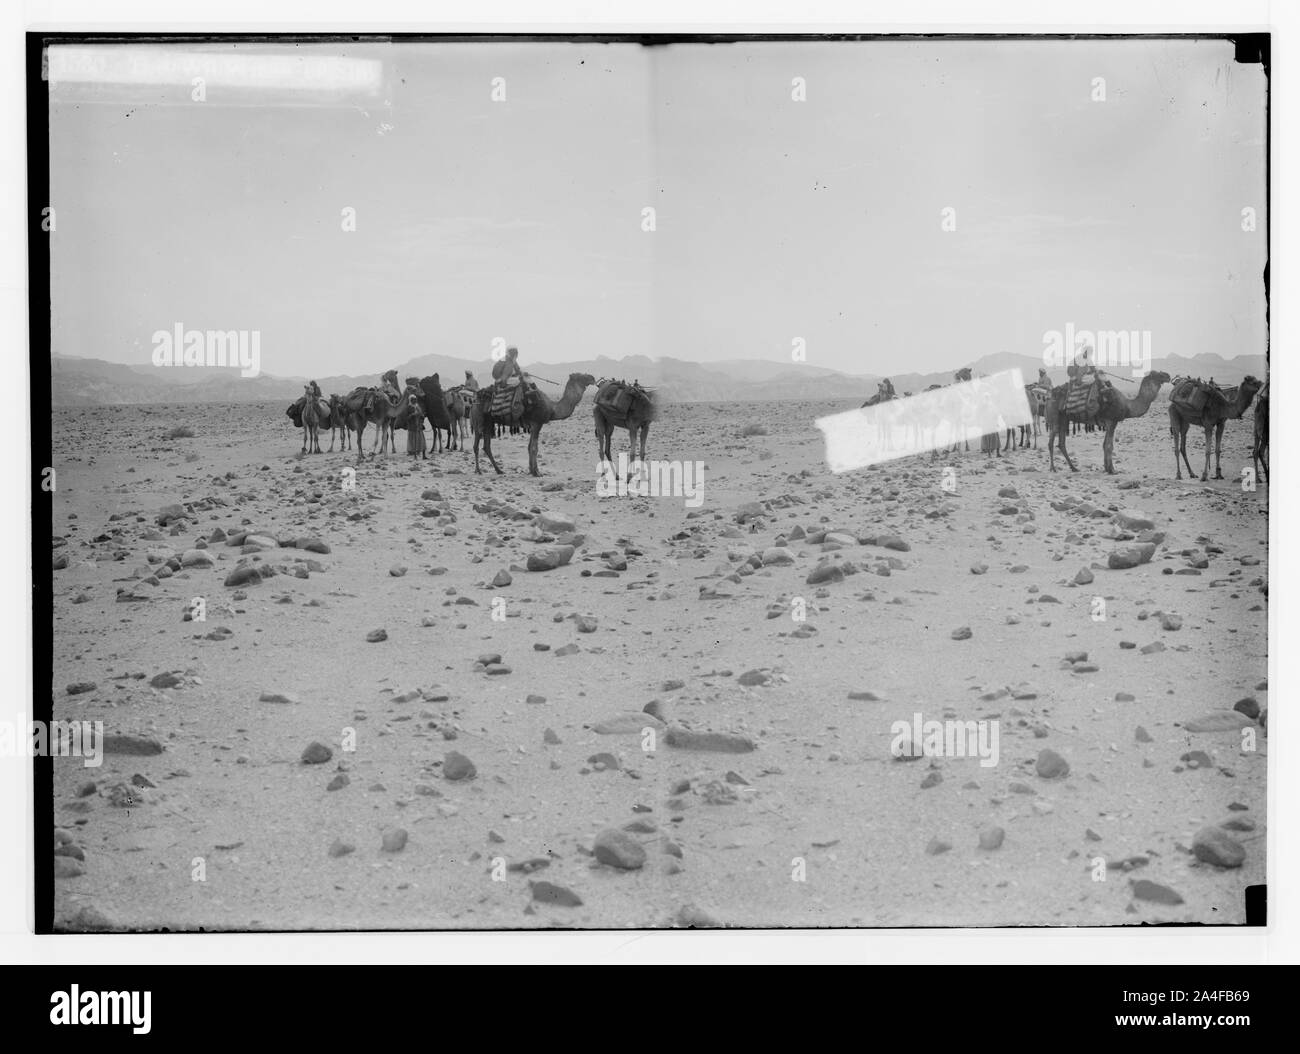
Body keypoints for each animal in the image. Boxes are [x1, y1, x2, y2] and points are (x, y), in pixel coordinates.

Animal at [1040, 369, 1175, 473]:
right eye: (1155, 374)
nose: (1168, 375)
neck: (1128, 405)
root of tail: (1048, 396)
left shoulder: (1110, 423)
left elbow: (1105, 444)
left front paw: (1107, 468)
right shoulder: (1112, 421)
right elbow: (1109, 446)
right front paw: (1113, 470)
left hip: (1064, 418)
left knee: (1061, 443)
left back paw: (1074, 468)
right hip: (1054, 417)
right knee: (1051, 442)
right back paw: (1053, 468)